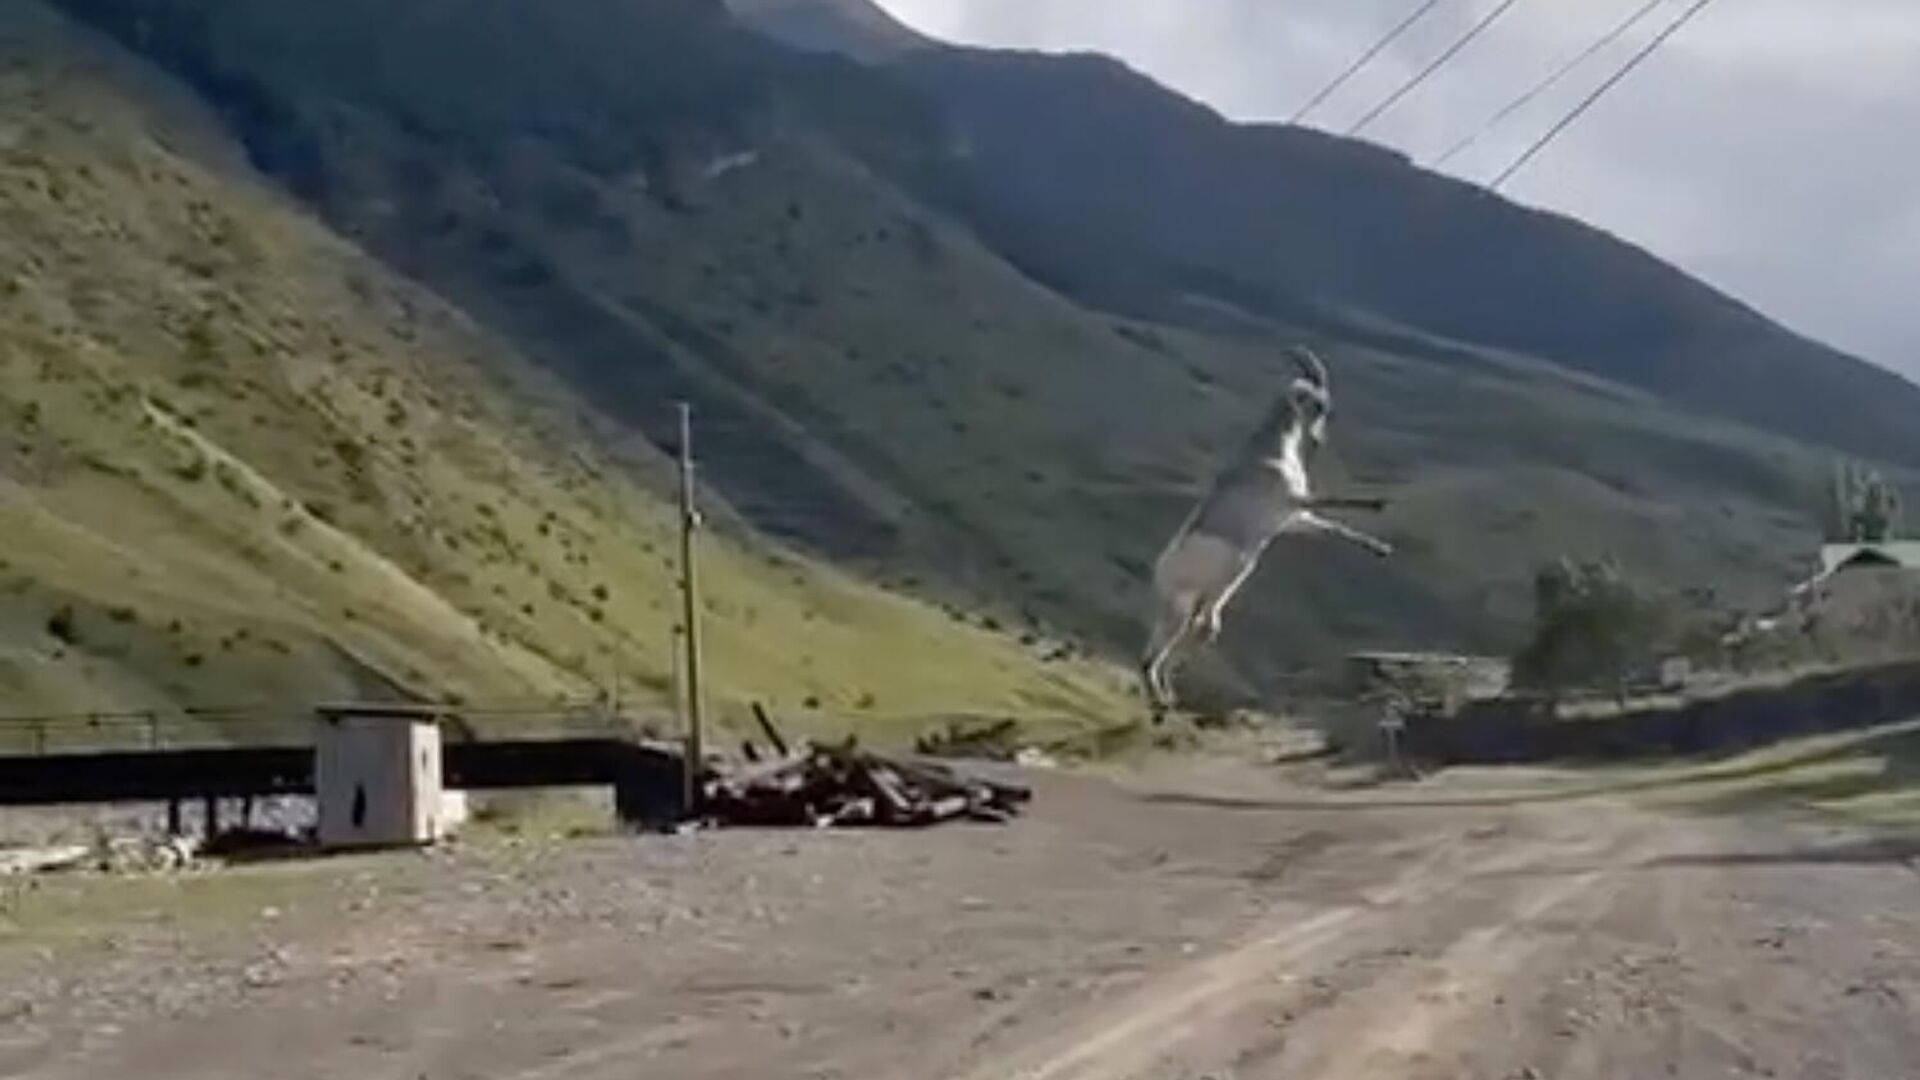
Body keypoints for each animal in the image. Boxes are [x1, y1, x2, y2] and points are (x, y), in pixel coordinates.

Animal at [1136, 345, 1397, 714]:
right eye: (1318, 404)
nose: (1318, 439)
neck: (1270, 452)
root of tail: (1160, 571)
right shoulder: (1289, 502)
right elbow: (1329, 500)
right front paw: (1378, 503)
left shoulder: (1292, 521)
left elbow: (1333, 528)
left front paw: (1381, 548)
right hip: (1180, 607)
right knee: (1154, 657)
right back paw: (1161, 700)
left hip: (1198, 604)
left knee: (1193, 634)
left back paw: (1169, 696)